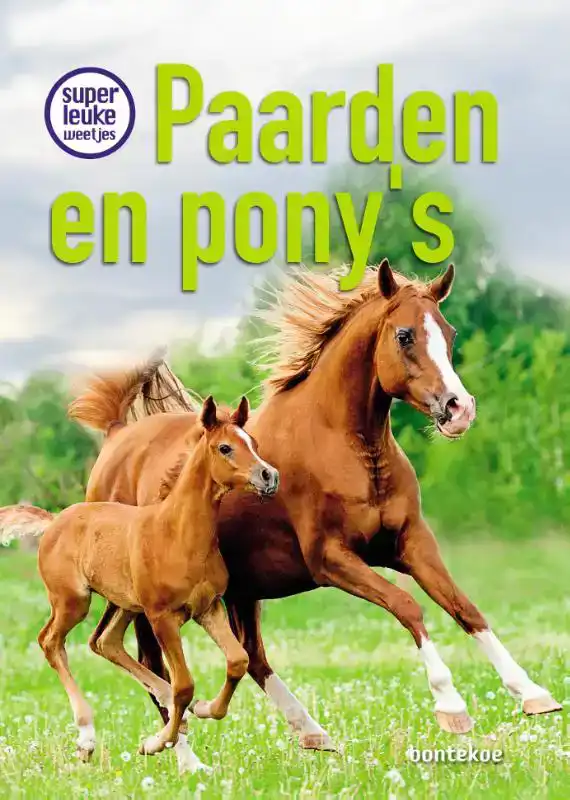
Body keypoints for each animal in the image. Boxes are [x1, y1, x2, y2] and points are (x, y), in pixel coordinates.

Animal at [0, 396, 279, 771]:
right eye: (225, 447)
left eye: (255, 444)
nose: (269, 476)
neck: (177, 534)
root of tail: (55, 520)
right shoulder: (162, 616)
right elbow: (185, 684)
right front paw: (155, 743)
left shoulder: (208, 608)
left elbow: (237, 661)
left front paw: (205, 709)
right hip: (74, 601)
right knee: (51, 642)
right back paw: (86, 738)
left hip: (125, 604)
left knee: (106, 642)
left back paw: (175, 708)